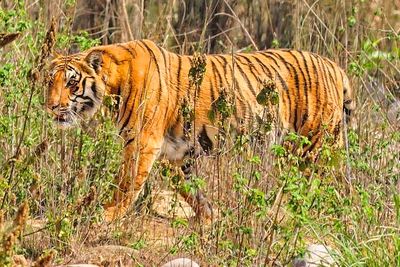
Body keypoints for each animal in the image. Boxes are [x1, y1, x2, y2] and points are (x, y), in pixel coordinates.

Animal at [47, 39, 356, 222]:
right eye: (50, 81)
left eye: (71, 83)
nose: (51, 106)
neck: (113, 87)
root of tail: (334, 66)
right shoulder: (176, 154)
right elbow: (189, 189)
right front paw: (209, 217)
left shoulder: (142, 143)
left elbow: (126, 183)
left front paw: (107, 214)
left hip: (314, 146)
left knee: (322, 186)